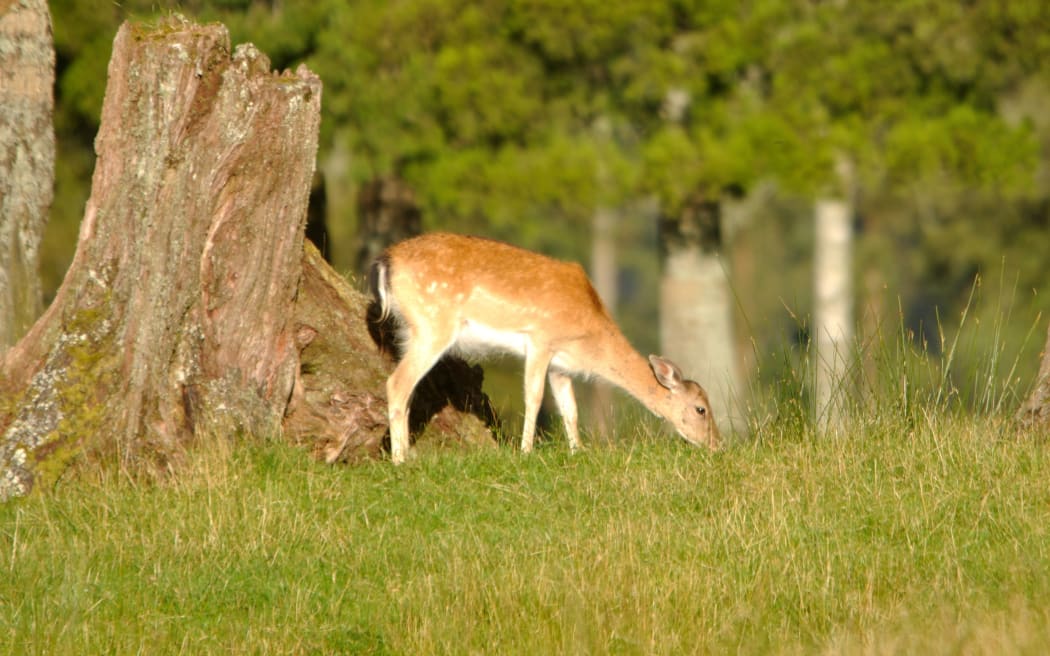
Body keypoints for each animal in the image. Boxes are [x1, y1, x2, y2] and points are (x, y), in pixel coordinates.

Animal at [371, 233, 722, 463]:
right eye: (701, 409)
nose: (717, 445)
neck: (589, 335)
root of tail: (387, 262)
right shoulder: (541, 339)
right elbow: (535, 397)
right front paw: (526, 451)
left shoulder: (561, 365)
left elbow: (571, 409)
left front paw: (578, 451)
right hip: (434, 325)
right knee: (396, 383)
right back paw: (401, 460)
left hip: (409, 329)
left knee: (404, 385)